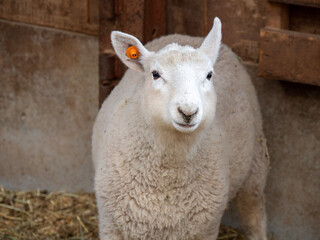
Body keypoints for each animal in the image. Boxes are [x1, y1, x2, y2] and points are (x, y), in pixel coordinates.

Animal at [93, 18, 270, 240]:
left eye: (209, 75)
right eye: (155, 74)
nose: (188, 111)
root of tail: (190, 36)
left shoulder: (205, 230)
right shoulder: (111, 226)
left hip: (255, 165)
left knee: (254, 215)